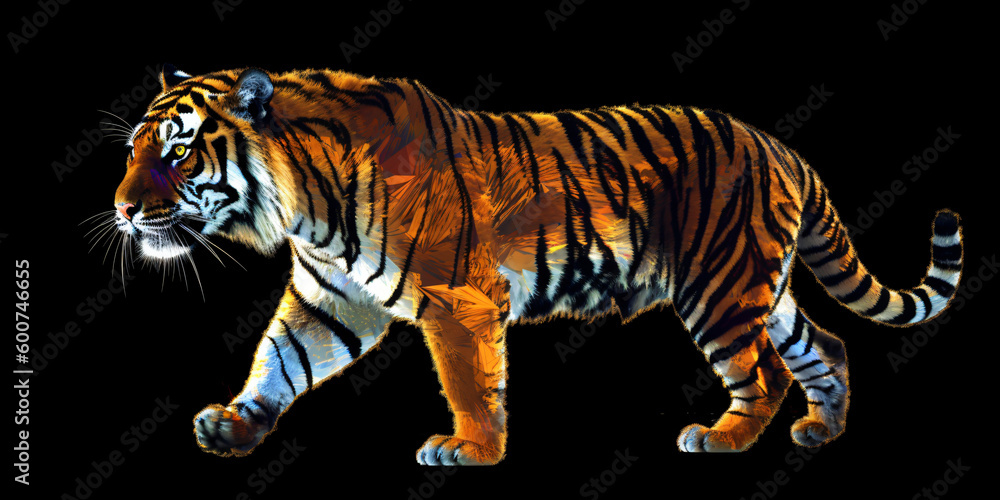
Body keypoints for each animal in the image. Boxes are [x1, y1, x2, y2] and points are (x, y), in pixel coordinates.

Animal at [107, 64, 963, 462]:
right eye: (133, 151)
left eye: (178, 154)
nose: (121, 209)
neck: (306, 204)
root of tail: (786, 151)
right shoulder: (331, 299)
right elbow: (278, 361)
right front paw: (234, 425)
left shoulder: (457, 298)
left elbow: (470, 382)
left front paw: (471, 450)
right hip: (764, 287)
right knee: (828, 347)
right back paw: (821, 430)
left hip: (721, 289)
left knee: (770, 371)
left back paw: (721, 438)